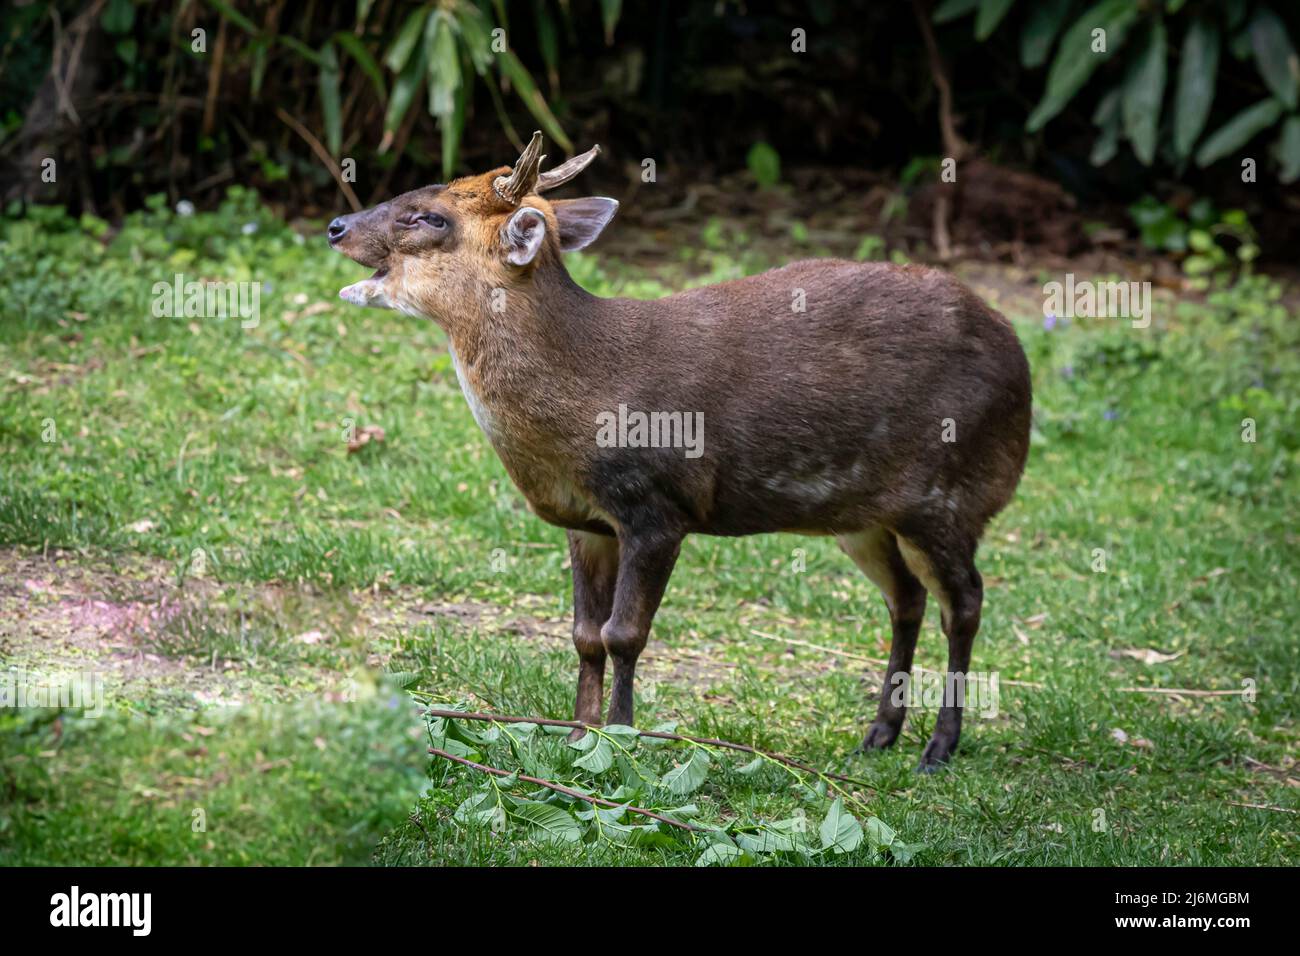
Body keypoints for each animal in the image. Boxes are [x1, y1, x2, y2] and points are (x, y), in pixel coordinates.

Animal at [330, 132, 1029, 770]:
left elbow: (624, 634)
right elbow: (584, 636)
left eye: (432, 217)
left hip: (948, 496)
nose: (336, 226)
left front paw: (621, 743)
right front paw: (578, 738)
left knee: (965, 602)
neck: (585, 397)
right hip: (862, 516)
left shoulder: (659, 506)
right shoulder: (587, 522)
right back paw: (880, 734)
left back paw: (939, 746)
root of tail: (1019, 361)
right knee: (907, 599)